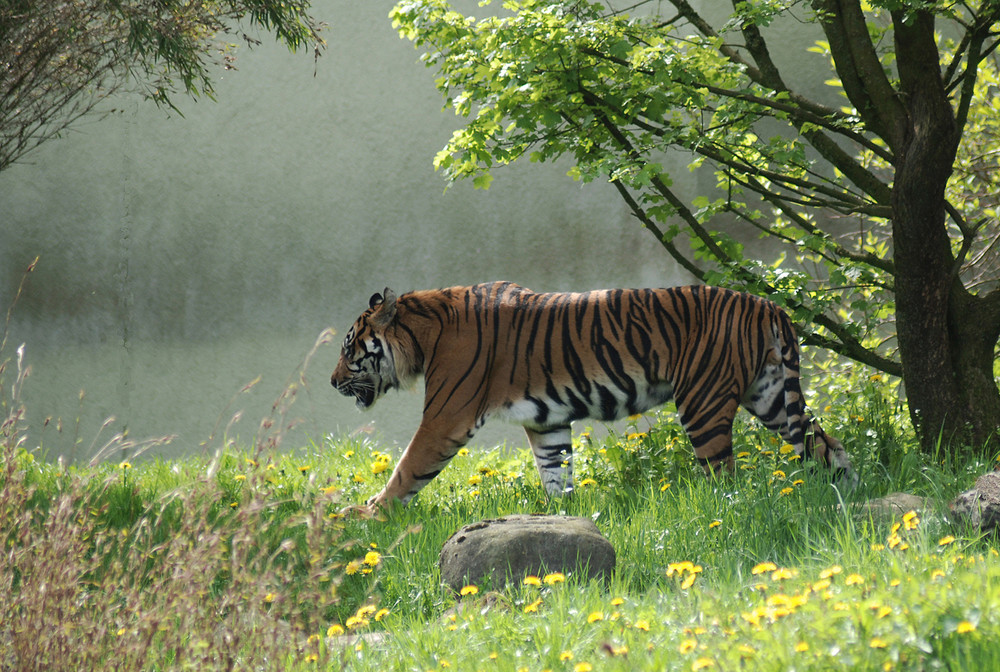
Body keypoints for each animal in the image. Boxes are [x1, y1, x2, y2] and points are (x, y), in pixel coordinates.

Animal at [332, 280, 856, 516]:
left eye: (348, 347)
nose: (332, 383)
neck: (423, 334)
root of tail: (768, 305)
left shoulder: (446, 415)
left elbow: (408, 466)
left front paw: (369, 512)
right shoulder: (545, 422)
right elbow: (555, 472)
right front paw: (562, 519)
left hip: (703, 403)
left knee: (725, 474)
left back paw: (718, 514)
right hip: (771, 396)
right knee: (825, 444)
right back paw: (846, 490)